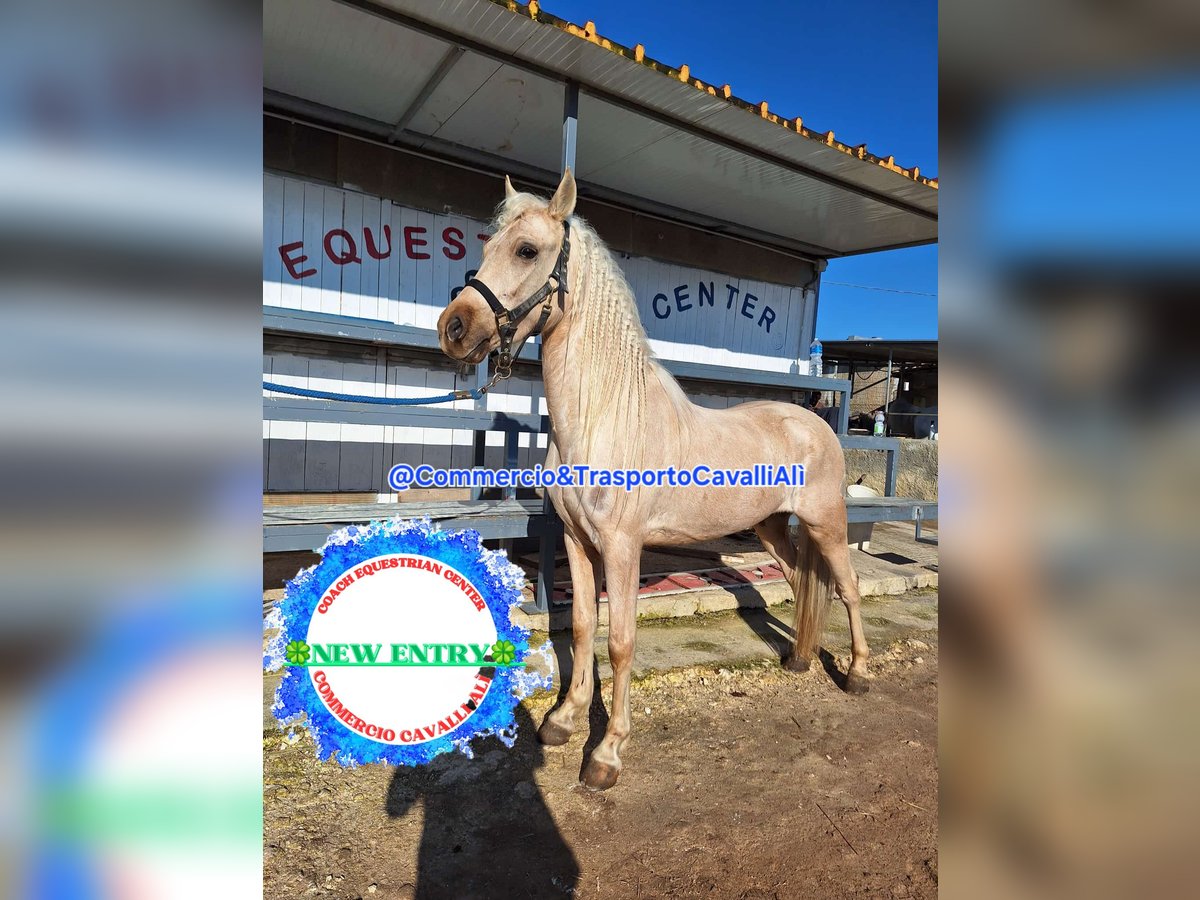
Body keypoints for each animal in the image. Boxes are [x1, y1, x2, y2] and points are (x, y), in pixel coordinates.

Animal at [436, 169, 868, 787]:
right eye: (486, 245)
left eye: (527, 250)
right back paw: (799, 659)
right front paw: (563, 721)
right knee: (798, 579)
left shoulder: (622, 547)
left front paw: (607, 752)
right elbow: (583, 627)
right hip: (769, 528)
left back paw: (856, 673)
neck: (602, 415)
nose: (454, 327)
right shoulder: (577, 542)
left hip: (827, 522)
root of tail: (816, 422)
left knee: (849, 587)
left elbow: (619, 642)